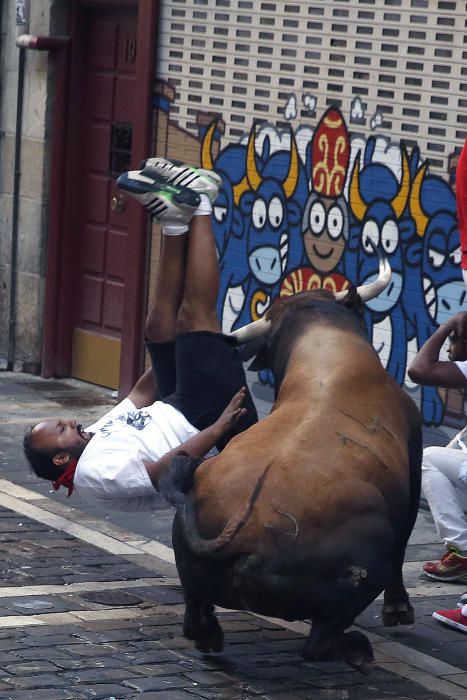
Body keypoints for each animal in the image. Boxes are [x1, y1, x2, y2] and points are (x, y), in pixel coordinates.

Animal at [159, 249, 422, 676]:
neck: (326, 355)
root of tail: (245, 529)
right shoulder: (415, 465)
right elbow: (403, 546)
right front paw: (398, 610)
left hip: (189, 567)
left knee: (195, 616)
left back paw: (211, 637)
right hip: (363, 571)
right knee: (321, 641)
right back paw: (357, 649)